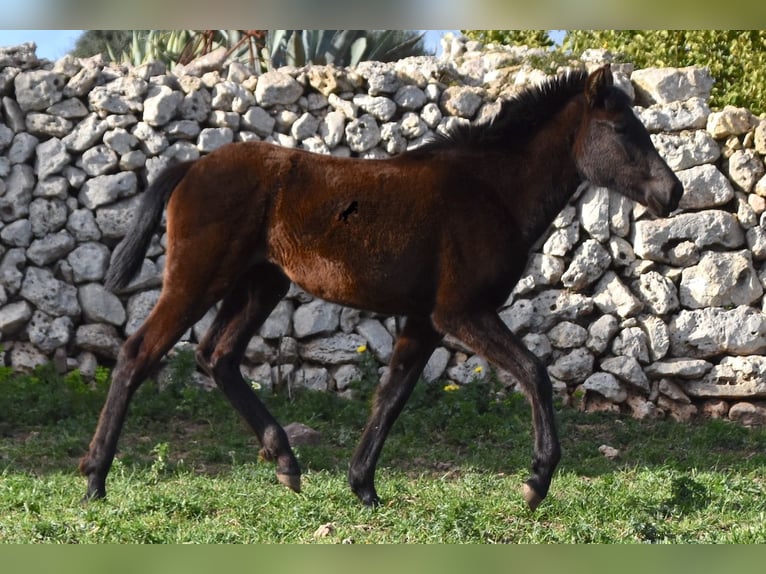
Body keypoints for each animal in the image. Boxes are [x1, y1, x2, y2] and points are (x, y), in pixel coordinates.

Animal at [82, 64, 684, 512]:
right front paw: (536, 482)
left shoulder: (425, 320)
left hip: (259, 284)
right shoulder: (461, 312)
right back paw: (94, 480)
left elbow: (392, 395)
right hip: (198, 279)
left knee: (217, 355)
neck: (489, 190)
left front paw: (363, 487)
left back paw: (286, 464)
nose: (672, 192)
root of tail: (190, 166)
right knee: (138, 353)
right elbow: (534, 373)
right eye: (622, 130)